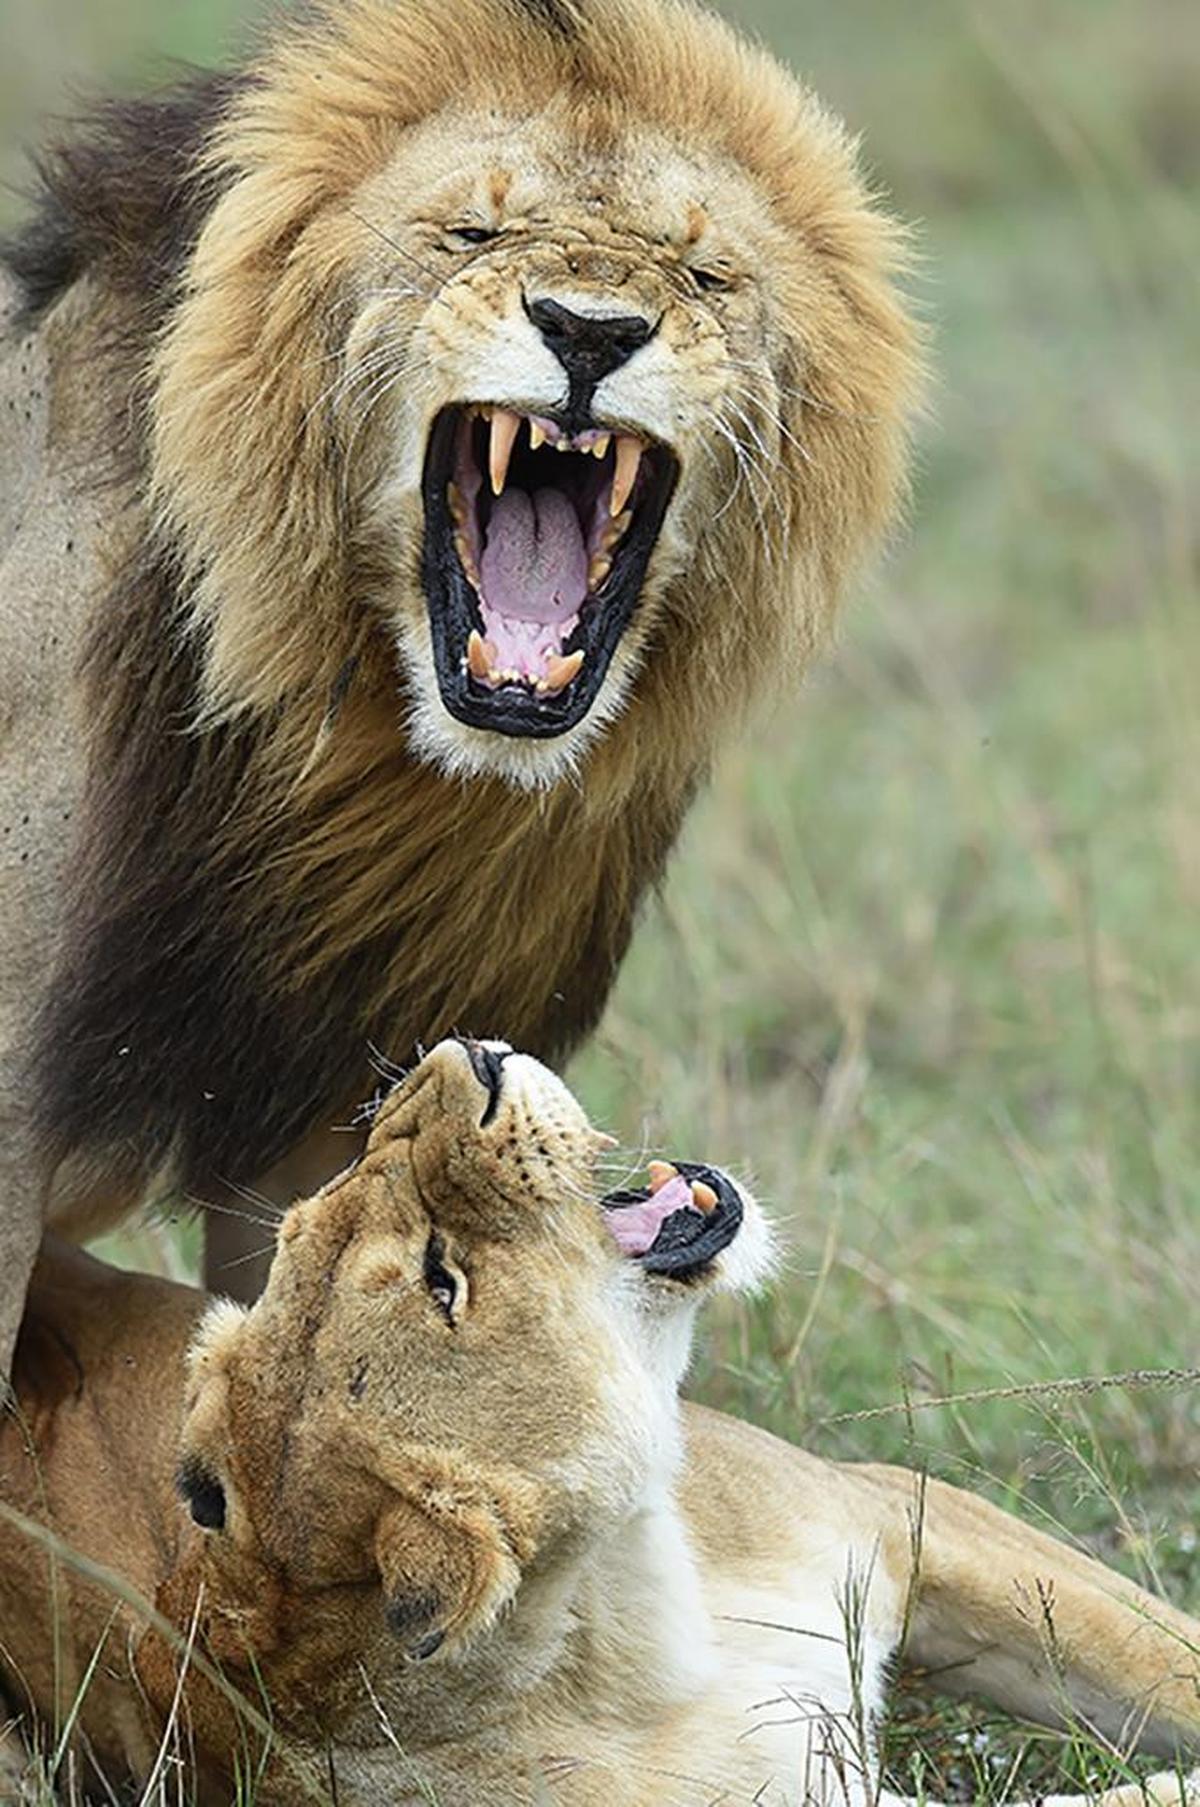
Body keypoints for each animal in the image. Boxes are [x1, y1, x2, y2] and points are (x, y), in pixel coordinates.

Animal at [0, 1038, 1197, 1806]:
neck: (644, 1616)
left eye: (308, 1216)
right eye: (443, 1280)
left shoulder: (895, 1507)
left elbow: (1166, 1654)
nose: (464, 1055)